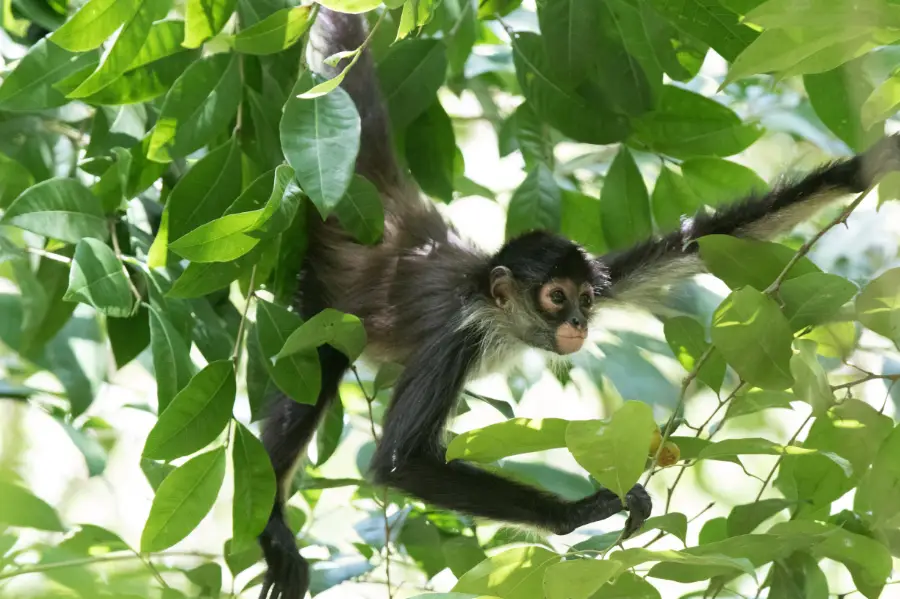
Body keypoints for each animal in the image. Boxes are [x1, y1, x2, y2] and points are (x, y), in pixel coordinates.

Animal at [256, 5, 900, 599]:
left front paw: (866, 167)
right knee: (312, 377)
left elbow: (701, 243)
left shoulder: (603, 274)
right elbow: (399, 461)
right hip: (321, 304)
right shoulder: (459, 335)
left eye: (586, 299)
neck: (497, 310)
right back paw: (272, 531)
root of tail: (394, 217)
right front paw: (580, 511)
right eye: (555, 297)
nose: (577, 323)